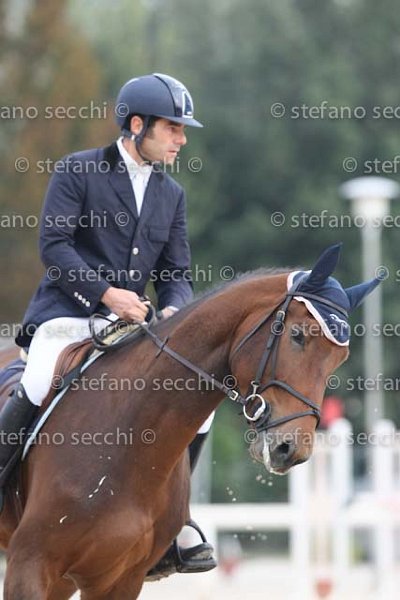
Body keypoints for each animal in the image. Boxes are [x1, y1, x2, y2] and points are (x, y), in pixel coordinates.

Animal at [0, 244, 379, 599]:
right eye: (298, 335)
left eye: (339, 357)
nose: (290, 449)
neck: (126, 440)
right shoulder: (30, 563)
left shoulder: (119, 579)